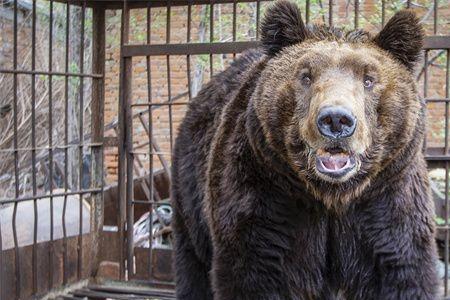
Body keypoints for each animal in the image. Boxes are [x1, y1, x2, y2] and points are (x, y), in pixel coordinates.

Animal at [171, 1, 438, 298]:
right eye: (306, 76)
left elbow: (401, 268)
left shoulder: (387, 199)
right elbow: (255, 269)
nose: (336, 120)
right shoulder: (266, 196)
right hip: (191, 188)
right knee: (193, 262)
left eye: (369, 79)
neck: (332, 196)